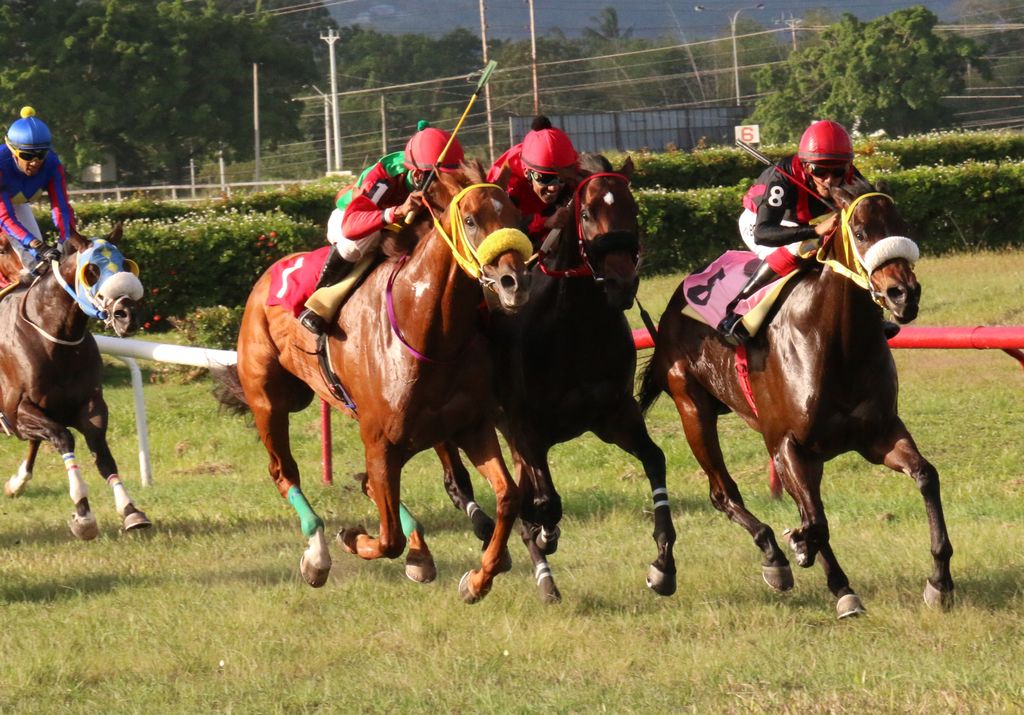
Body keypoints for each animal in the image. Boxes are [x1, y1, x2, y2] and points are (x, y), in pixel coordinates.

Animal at [1, 226, 152, 538]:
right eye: (91, 270)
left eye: (125, 264)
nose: (127, 315)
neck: (56, 338)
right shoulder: (17, 410)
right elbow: (64, 437)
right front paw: (83, 514)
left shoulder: (90, 405)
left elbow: (102, 454)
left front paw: (131, 511)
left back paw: (17, 482)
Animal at [215, 163, 534, 602]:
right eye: (470, 220)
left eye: (517, 216)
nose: (514, 282)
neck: (427, 330)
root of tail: (267, 276)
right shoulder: (381, 439)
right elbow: (388, 540)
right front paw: (352, 538)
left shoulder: (470, 425)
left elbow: (508, 496)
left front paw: (478, 578)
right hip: (269, 400)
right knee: (284, 472)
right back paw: (318, 555)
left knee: (372, 486)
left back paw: (419, 552)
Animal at [434, 154, 677, 602]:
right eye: (587, 213)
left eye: (634, 210)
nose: (622, 282)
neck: (572, 332)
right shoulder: (525, 428)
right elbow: (545, 501)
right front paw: (544, 536)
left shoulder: (616, 416)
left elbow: (655, 460)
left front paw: (662, 567)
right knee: (465, 478)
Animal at [638, 178, 953, 618]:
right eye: (859, 233)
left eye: (902, 225)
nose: (903, 295)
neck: (837, 344)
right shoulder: (787, 444)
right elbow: (815, 521)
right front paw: (820, 567)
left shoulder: (880, 434)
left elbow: (926, 476)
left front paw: (939, 582)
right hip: (692, 407)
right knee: (723, 492)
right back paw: (738, 561)